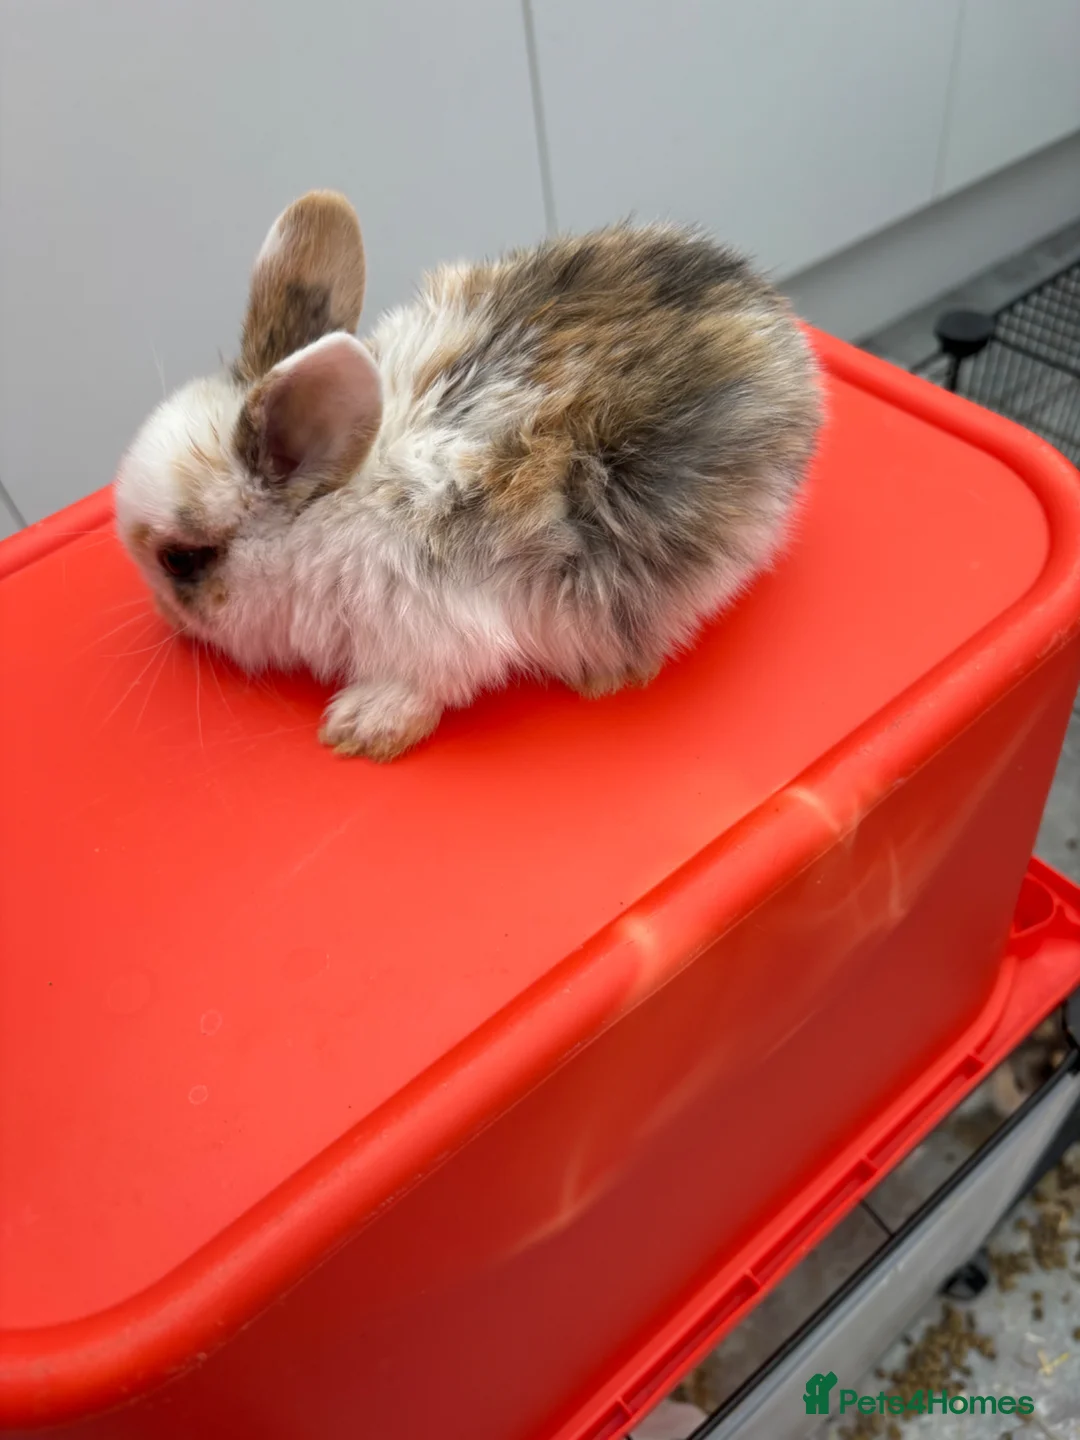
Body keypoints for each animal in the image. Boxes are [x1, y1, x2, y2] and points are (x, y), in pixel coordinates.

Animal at [115, 191, 822, 760]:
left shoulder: (438, 633)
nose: (166, 618)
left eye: (181, 559)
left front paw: (359, 729)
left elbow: (423, 685)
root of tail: (780, 324)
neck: (327, 512)